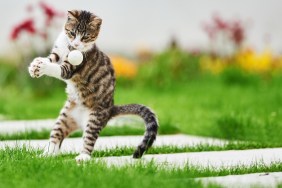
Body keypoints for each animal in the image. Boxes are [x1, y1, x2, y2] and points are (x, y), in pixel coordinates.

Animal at [28, 10, 159, 162]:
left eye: (85, 37)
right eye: (72, 33)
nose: (76, 44)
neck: (68, 47)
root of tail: (111, 108)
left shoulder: (73, 66)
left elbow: (59, 69)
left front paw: (43, 67)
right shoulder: (58, 51)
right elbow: (51, 58)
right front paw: (36, 64)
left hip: (94, 119)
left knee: (88, 139)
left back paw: (83, 157)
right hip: (64, 118)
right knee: (56, 136)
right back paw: (46, 155)